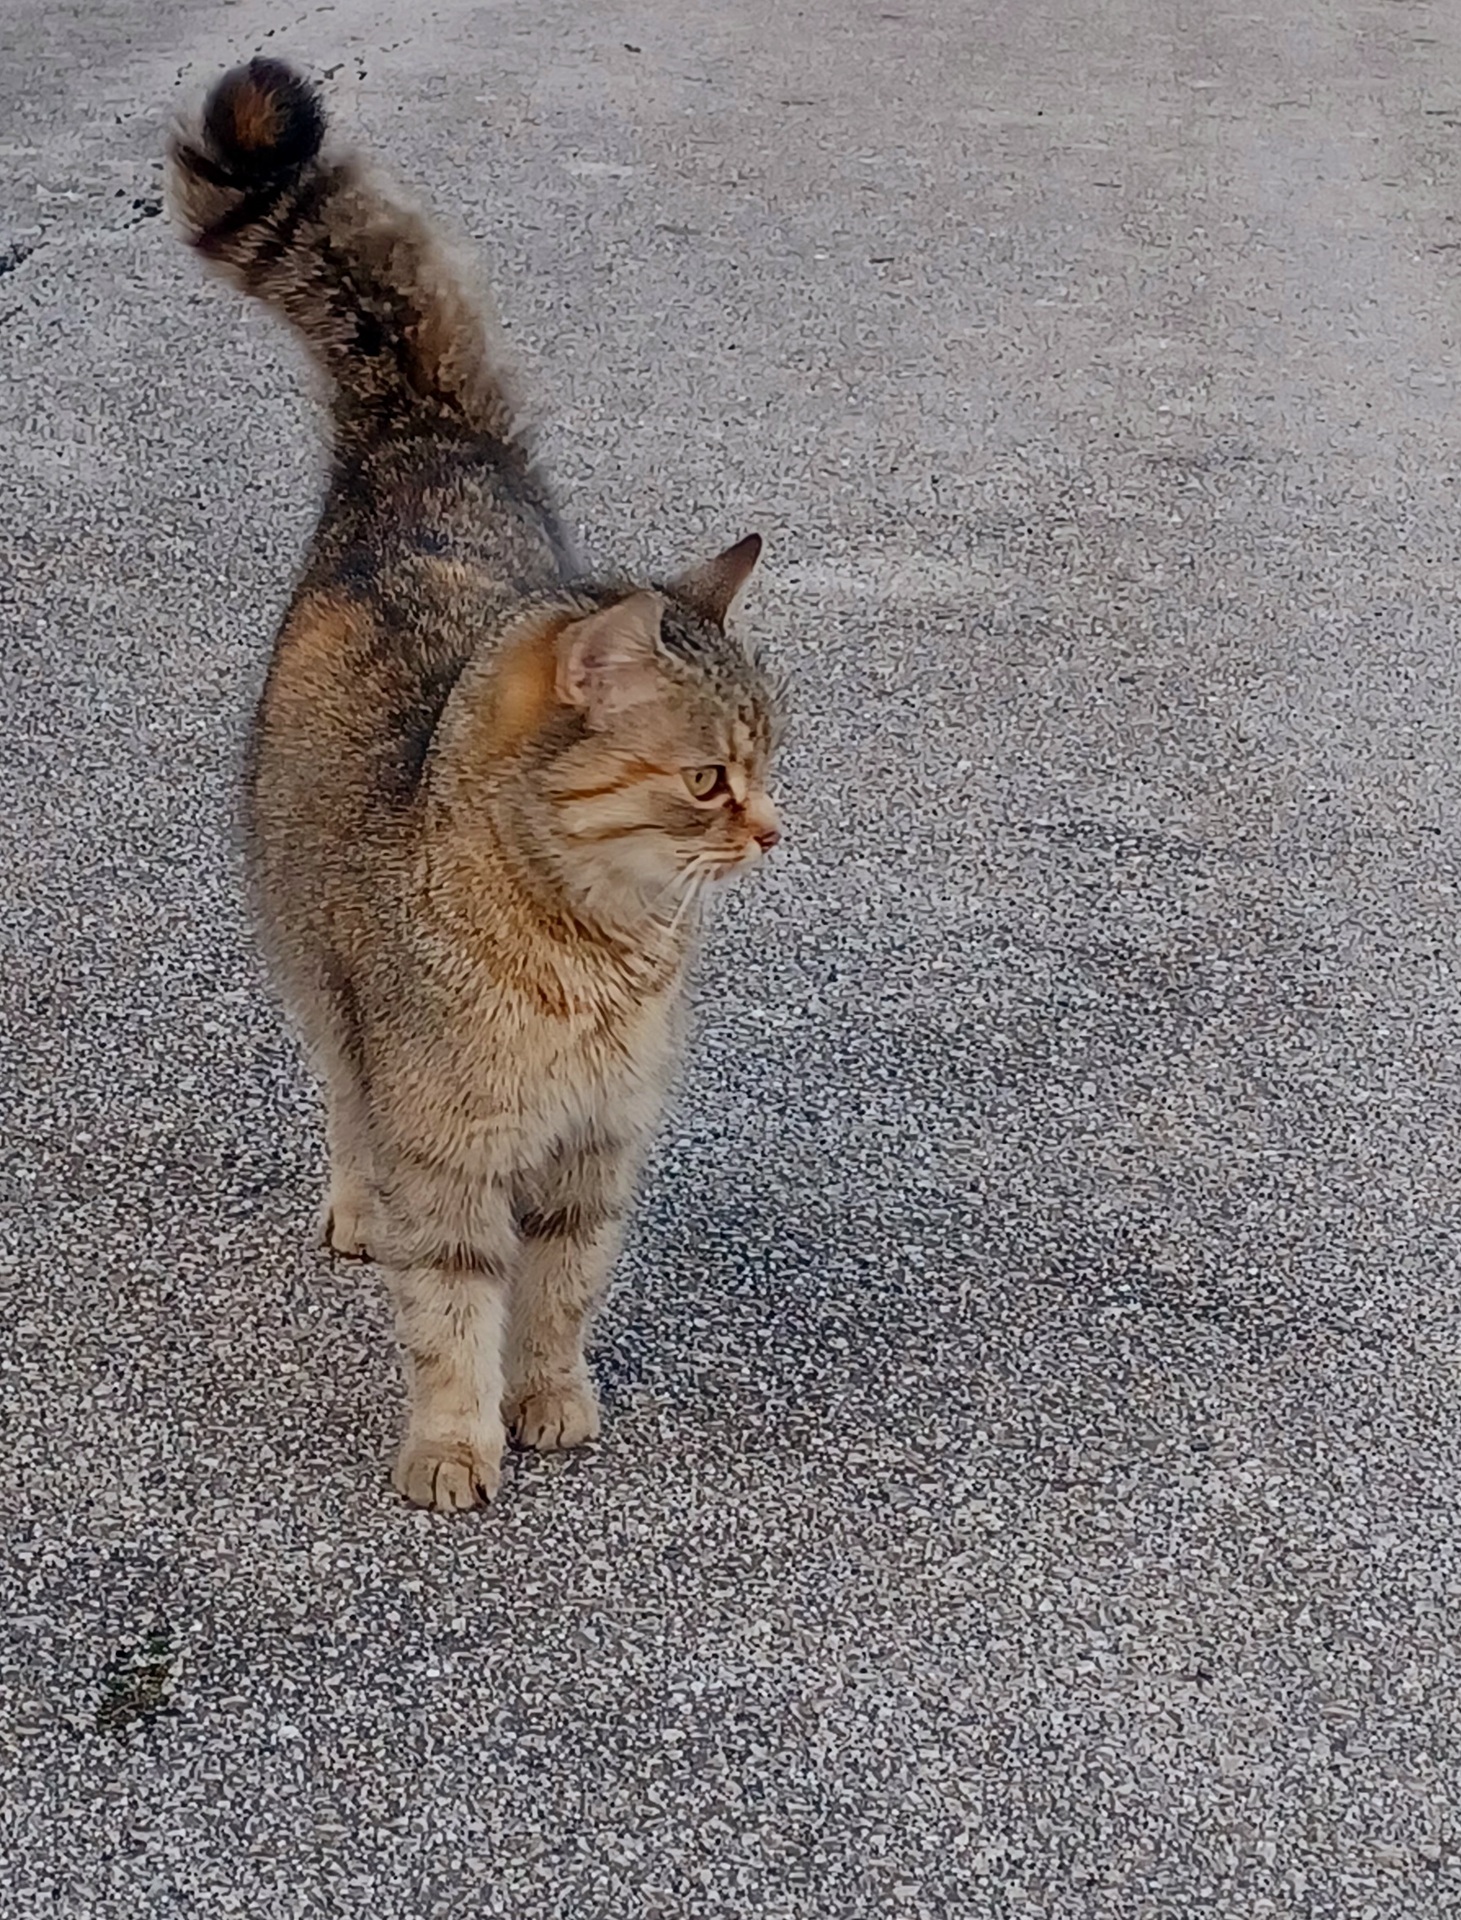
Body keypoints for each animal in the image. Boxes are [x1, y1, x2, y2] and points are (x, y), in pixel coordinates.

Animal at [166, 58, 786, 1512]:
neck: (592, 950)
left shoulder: (591, 1152)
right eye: (706, 780)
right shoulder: (448, 1144)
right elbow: (453, 1305)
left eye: (770, 758)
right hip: (322, 983)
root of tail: (427, 445)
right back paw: (355, 1206)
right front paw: (454, 1441)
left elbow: (561, 1291)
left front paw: (550, 1397)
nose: (775, 831)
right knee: (345, 1103)